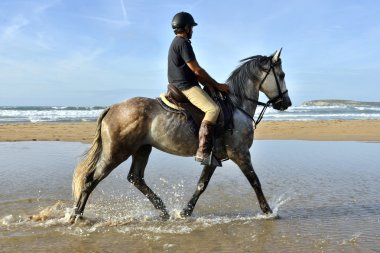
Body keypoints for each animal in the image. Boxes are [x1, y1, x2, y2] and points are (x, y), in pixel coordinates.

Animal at [70, 48, 290, 222]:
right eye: (282, 75)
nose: (286, 103)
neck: (236, 106)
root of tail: (112, 108)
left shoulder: (213, 158)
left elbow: (201, 185)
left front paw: (185, 212)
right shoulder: (241, 154)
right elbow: (255, 181)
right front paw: (268, 211)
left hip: (142, 149)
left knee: (136, 178)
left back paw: (164, 211)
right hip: (116, 153)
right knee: (91, 180)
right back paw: (76, 216)